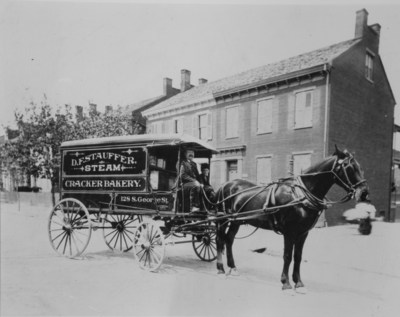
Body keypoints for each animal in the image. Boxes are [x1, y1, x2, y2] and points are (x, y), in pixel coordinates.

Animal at [216, 147, 368, 292]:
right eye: (349, 168)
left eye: (360, 167)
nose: (364, 193)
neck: (301, 195)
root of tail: (225, 185)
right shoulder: (289, 232)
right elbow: (288, 256)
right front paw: (286, 284)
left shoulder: (303, 233)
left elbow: (298, 257)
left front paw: (299, 283)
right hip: (222, 220)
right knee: (219, 240)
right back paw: (220, 269)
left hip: (235, 221)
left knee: (229, 240)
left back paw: (232, 268)